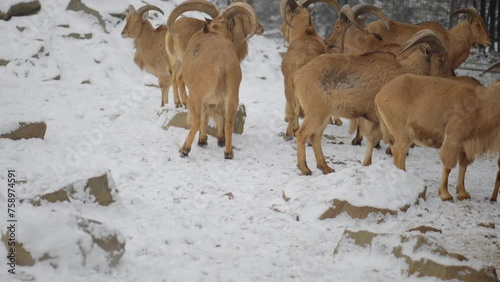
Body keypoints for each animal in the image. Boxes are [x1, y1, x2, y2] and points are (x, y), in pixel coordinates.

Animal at [292, 30, 456, 176]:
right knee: (302, 134)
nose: (452, 76)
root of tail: (299, 74)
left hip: (324, 115)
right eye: (440, 59)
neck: (403, 71)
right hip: (316, 112)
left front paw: (366, 163)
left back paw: (325, 168)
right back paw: (305, 168)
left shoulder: (375, 120)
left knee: (315, 136)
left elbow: (371, 141)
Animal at [376, 62, 500, 202]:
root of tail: (380, 95)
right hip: (403, 134)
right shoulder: (453, 138)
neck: (481, 106)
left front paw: (463, 193)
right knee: (399, 154)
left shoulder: (466, 144)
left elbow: (463, 167)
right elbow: (447, 166)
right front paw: (445, 194)